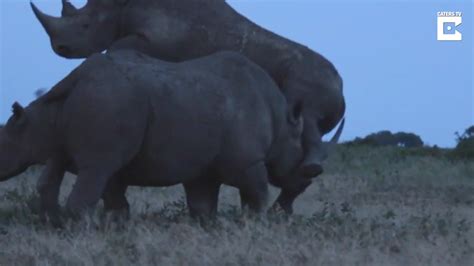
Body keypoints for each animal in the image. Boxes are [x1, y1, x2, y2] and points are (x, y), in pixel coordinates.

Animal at [0, 50, 312, 220]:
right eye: (299, 157)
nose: (305, 181)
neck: (283, 122)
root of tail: (76, 77)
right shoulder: (247, 161)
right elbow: (257, 195)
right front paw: (254, 223)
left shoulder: (200, 163)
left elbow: (201, 203)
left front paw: (209, 228)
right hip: (110, 99)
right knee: (96, 170)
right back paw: (78, 230)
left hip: (107, 100)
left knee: (75, 168)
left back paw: (58, 224)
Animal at [31, 0, 346, 181]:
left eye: (85, 25)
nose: (60, 48)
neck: (121, 7)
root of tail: (341, 82)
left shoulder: (155, 40)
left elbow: (121, 47)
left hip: (312, 78)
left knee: (305, 112)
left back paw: (310, 168)